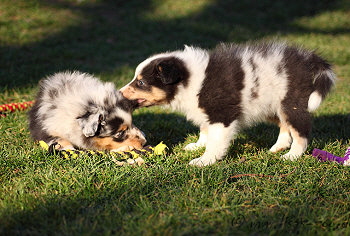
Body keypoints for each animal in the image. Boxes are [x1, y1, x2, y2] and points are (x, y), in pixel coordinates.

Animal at [121, 41, 336, 166]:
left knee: (301, 132)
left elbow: (216, 141)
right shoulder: (205, 111)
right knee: (285, 125)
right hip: (272, 106)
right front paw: (197, 145)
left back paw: (292, 156)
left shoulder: (221, 115)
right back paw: (278, 147)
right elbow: (204, 130)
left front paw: (204, 160)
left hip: (291, 103)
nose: (119, 94)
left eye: (141, 82)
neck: (190, 80)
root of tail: (309, 60)